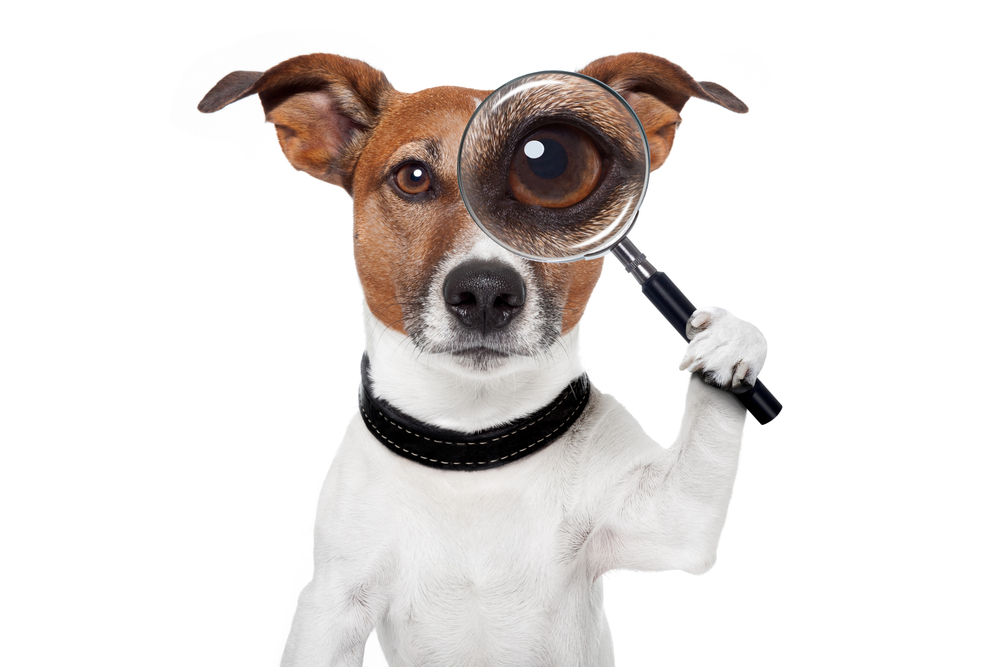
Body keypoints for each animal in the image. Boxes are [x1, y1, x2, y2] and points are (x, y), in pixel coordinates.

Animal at [199, 52, 768, 667]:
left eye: (554, 171)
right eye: (413, 177)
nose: (487, 292)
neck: (472, 442)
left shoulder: (673, 520)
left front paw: (731, 341)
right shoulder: (333, 602)